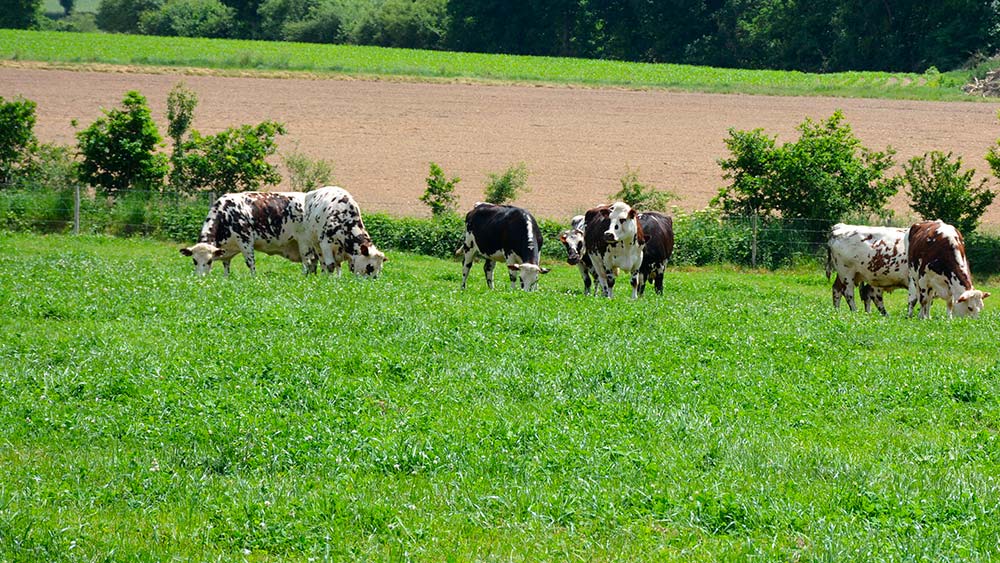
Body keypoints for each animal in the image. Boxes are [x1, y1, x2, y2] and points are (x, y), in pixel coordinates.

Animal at [180, 191, 310, 276]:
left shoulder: (245, 241)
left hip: (304, 243)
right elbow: (226, 266)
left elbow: (250, 263)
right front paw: (226, 278)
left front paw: (254, 278)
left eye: (209, 261)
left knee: (306, 262)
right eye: (194, 261)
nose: (200, 277)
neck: (226, 214)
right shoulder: (225, 250)